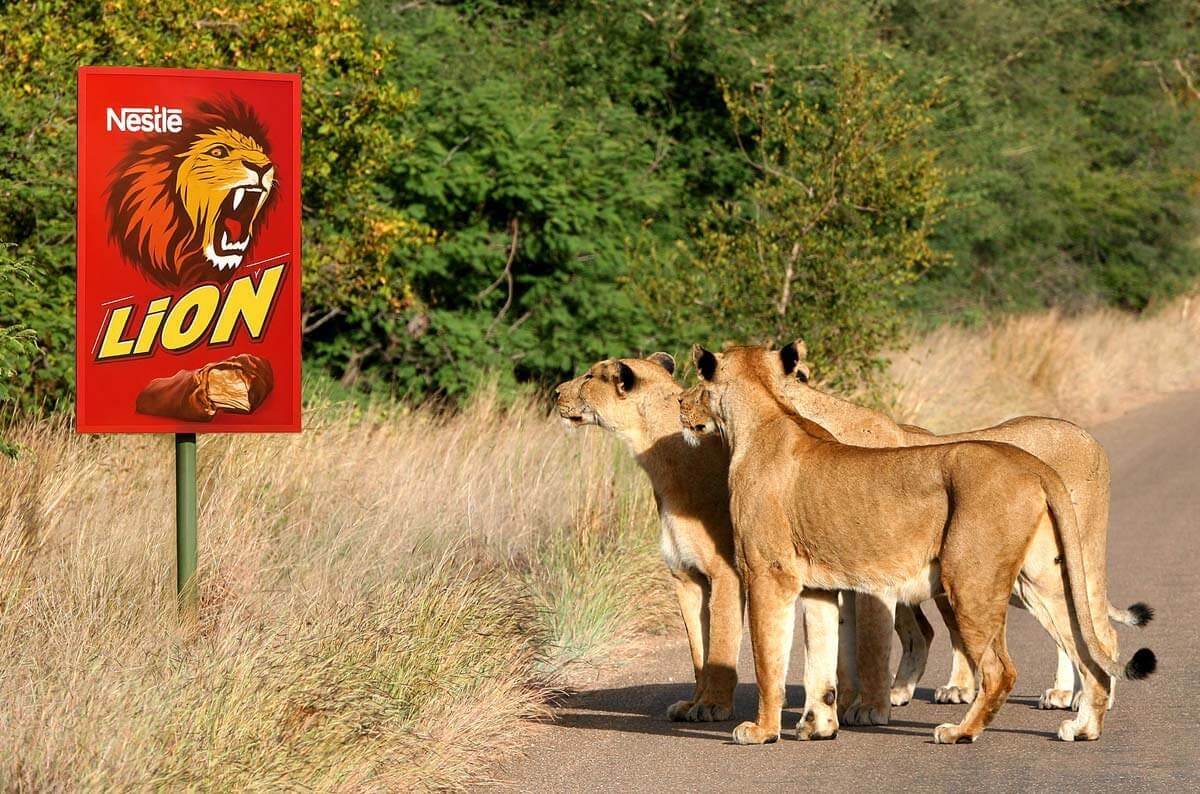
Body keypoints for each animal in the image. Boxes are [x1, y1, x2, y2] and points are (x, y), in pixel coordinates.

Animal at [554, 355, 841, 738]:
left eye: (588, 377)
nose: (556, 393)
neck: (660, 464)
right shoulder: (686, 576)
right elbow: (697, 651)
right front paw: (693, 703)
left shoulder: (727, 572)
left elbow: (720, 643)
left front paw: (712, 707)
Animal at [681, 342, 1155, 745]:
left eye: (699, 382)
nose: (681, 404)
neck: (767, 414)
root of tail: (1033, 465)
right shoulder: (819, 586)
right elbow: (823, 660)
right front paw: (818, 725)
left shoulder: (769, 574)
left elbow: (771, 658)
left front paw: (764, 730)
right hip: (1040, 582)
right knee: (1085, 646)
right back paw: (1084, 725)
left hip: (972, 579)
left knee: (1006, 668)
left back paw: (962, 731)